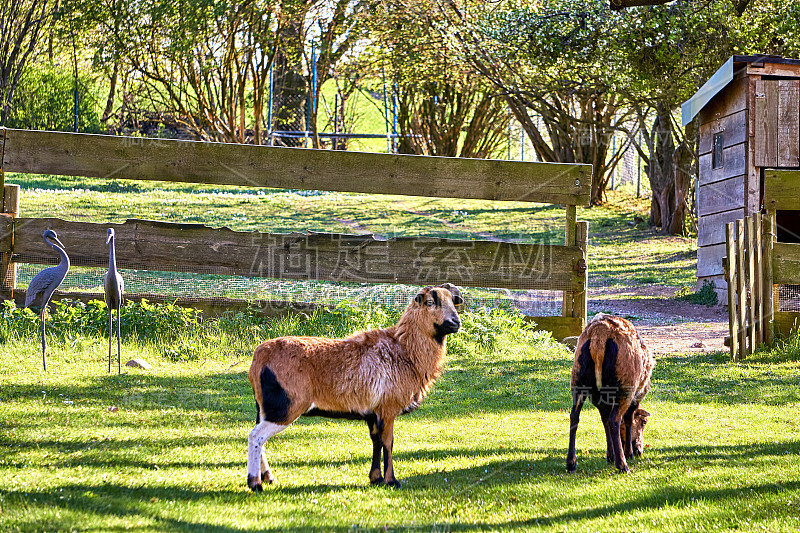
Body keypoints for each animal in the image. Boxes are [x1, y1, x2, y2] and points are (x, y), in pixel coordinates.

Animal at [247, 282, 466, 490]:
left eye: (453, 302)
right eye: (430, 302)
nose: (455, 323)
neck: (405, 350)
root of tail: (258, 358)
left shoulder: (373, 412)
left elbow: (376, 441)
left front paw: (376, 478)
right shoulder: (388, 407)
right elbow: (389, 443)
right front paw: (391, 481)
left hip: (265, 406)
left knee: (260, 436)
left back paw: (268, 477)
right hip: (286, 404)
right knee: (256, 436)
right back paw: (255, 483)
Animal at [564, 314, 652, 472]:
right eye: (644, 422)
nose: (639, 451)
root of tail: (599, 336)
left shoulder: (599, 400)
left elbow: (604, 421)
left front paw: (610, 456)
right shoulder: (635, 397)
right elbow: (628, 420)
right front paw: (628, 454)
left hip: (578, 379)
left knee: (574, 416)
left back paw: (571, 463)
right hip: (625, 386)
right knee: (614, 420)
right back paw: (623, 465)